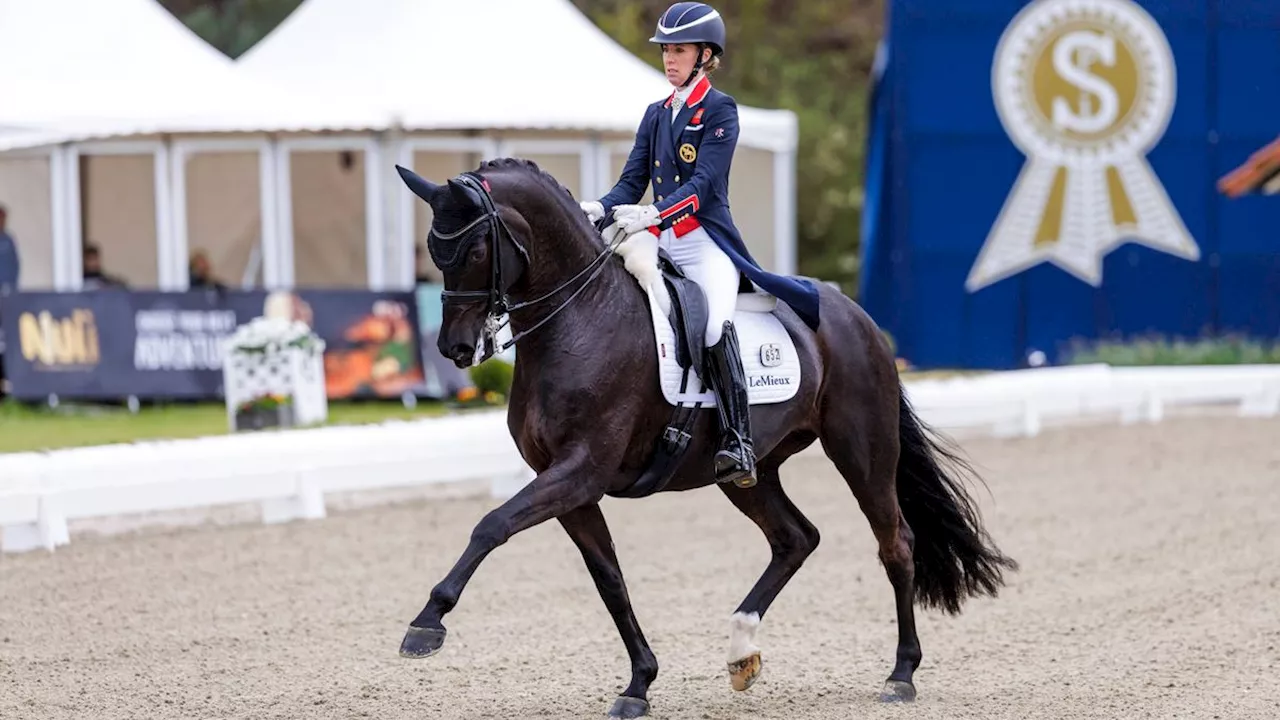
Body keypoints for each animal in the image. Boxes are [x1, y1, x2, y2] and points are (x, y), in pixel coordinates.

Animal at [394, 159, 1013, 712]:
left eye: (476, 251)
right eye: (433, 250)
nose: (455, 349)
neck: (581, 319)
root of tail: (855, 316)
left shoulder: (580, 470)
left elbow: (491, 524)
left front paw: (426, 624)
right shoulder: (569, 485)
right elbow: (609, 579)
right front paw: (639, 684)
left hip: (861, 451)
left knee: (895, 544)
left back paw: (901, 675)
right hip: (747, 474)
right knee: (796, 538)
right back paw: (742, 652)